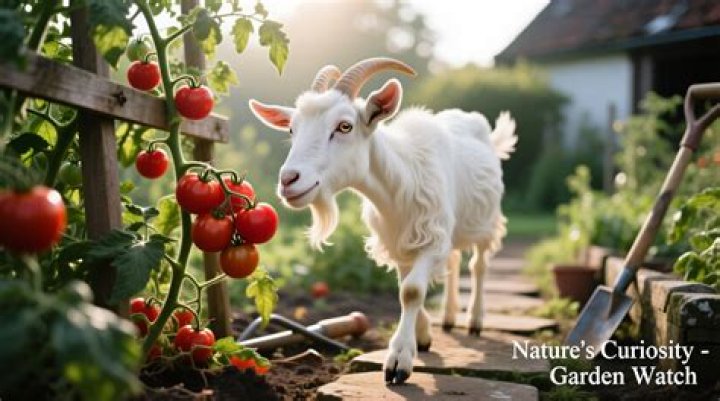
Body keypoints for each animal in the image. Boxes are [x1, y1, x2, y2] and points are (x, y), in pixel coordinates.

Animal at [249, 58, 517, 384]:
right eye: (291, 128)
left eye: (345, 126)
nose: (289, 180)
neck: (402, 180)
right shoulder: (399, 242)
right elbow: (406, 287)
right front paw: (422, 336)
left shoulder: (432, 239)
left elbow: (412, 291)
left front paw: (399, 360)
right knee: (454, 263)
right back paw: (449, 318)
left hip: (486, 222)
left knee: (478, 265)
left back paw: (475, 320)